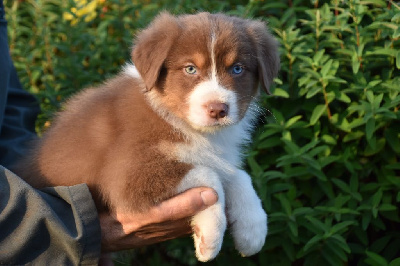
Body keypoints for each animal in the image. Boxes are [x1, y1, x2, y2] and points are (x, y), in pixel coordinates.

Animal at [14, 12, 280, 262]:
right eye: (190, 69)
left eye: (237, 69)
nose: (217, 109)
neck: (178, 120)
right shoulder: (126, 177)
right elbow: (209, 175)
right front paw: (210, 236)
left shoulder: (215, 155)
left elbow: (237, 175)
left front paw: (253, 230)